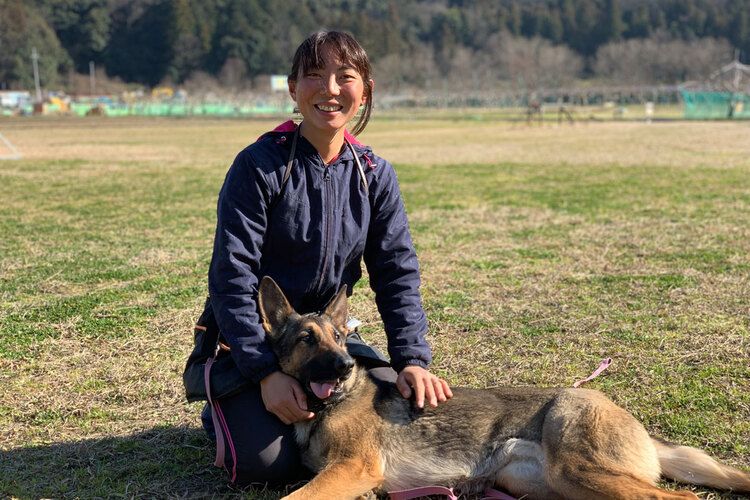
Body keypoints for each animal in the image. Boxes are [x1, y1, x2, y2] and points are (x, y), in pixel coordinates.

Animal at [258, 278, 750, 500]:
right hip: (552, 483)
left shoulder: (353, 468)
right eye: (307, 340)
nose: (345, 367)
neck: (328, 405)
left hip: (580, 470)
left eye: (340, 338)